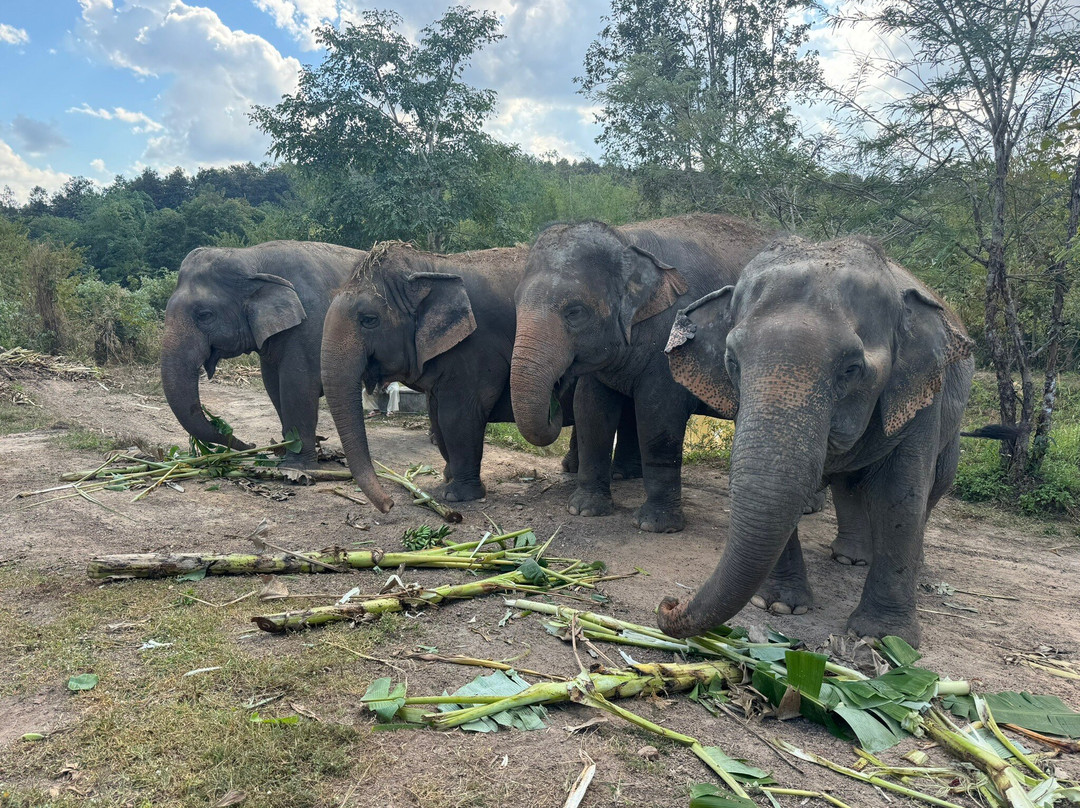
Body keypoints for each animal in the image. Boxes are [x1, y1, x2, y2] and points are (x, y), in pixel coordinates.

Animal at [162, 240, 362, 467]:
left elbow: (297, 384)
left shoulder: (311, 325)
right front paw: (285, 452)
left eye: (204, 315)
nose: (252, 445)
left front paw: (295, 466)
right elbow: (273, 384)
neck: (251, 257)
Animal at [321, 241, 640, 513]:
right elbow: (436, 415)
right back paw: (580, 470)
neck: (427, 264)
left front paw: (456, 496)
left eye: (369, 320)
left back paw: (618, 475)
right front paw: (447, 478)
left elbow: (458, 415)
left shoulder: (474, 349)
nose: (389, 504)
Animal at [510, 214, 775, 533]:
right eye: (515, 302)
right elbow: (590, 409)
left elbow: (657, 413)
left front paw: (656, 525)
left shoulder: (674, 335)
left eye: (574, 312)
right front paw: (584, 509)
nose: (556, 391)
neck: (626, 240)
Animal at [657, 235, 975, 647]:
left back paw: (906, 564)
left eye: (852, 369)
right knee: (849, 486)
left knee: (935, 486)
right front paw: (780, 606)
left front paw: (884, 638)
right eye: (731, 362)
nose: (668, 602)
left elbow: (900, 495)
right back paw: (851, 558)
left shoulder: (920, 396)